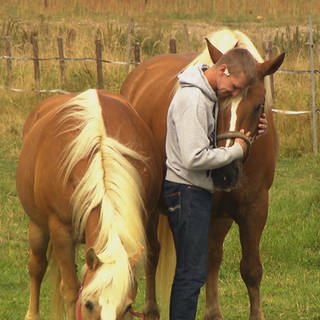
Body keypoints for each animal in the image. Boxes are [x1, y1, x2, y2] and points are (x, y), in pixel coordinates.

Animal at [15, 89, 162, 320]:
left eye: (127, 307)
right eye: (89, 304)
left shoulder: (150, 215)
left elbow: (152, 258)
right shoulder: (61, 231)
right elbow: (70, 289)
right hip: (37, 226)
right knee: (36, 267)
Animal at [120, 28, 284, 318]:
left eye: (258, 105)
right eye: (217, 100)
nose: (225, 172)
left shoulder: (254, 209)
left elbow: (250, 269)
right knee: (152, 254)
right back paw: (151, 309)